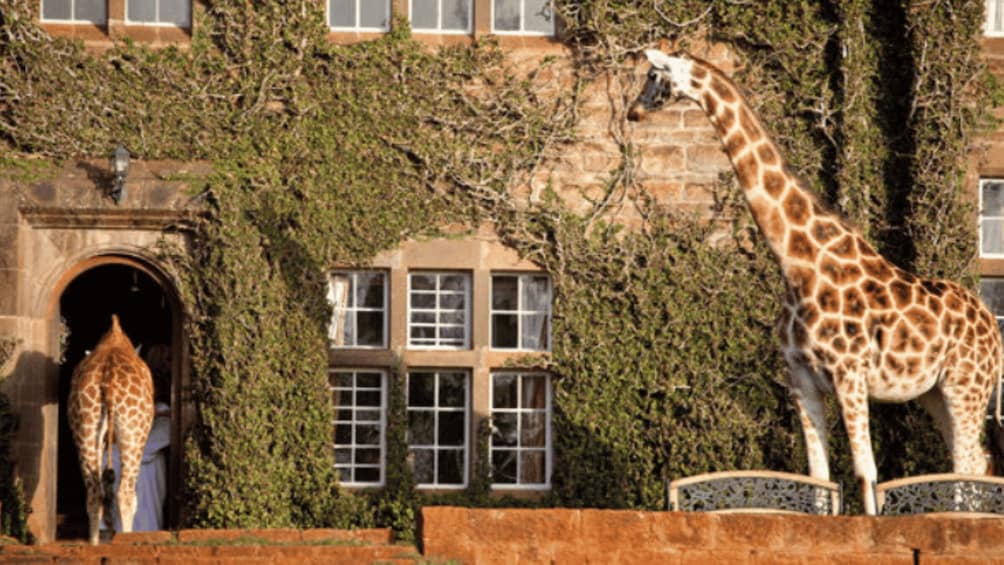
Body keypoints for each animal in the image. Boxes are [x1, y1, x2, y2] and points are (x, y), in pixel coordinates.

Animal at [67, 314, 154, 543]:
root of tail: (108, 380)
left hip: (85, 426)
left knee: (95, 492)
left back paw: (94, 544)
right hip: (134, 433)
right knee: (125, 492)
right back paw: (126, 540)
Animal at [628, 49, 1003, 514]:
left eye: (652, 75)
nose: (633, 111)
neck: (797, 266)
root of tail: (994, 330)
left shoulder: (849, 374)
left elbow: (865, 473)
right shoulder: (801, 378)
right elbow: (819, 479)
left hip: (966, 385)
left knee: (968, 466)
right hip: (936, 393)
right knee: (973, 462)